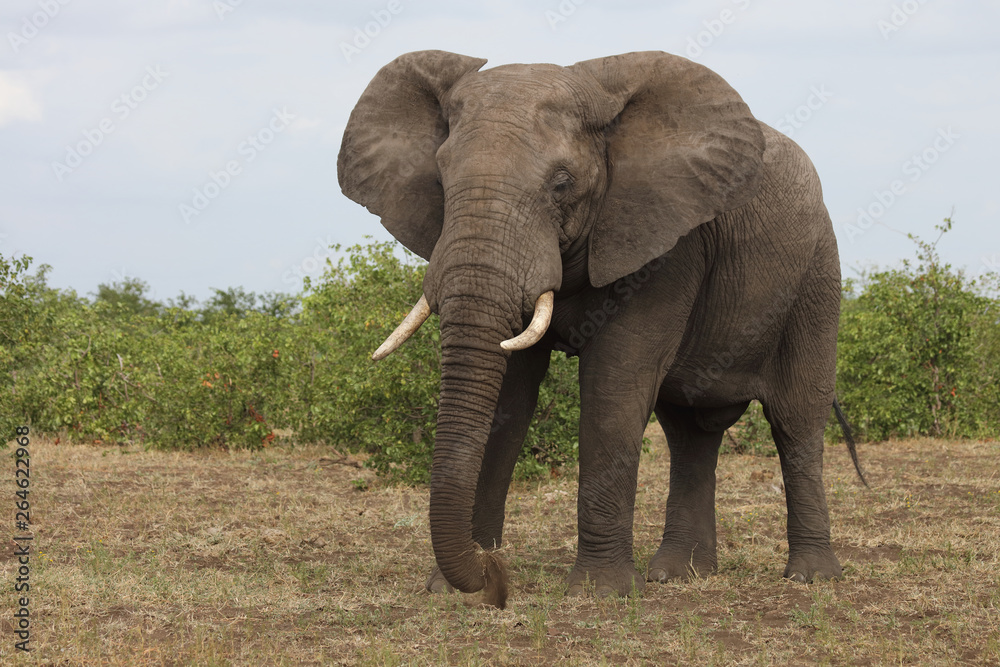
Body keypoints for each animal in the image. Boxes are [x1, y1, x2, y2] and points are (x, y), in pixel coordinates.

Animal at [338, 49, 868, 608]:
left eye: (562, 183)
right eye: (440, 180)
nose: (495, 576)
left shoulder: (665, 241)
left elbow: (615, 384)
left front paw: (600, 592)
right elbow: (508, 395)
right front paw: (452, 587)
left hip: (817, 276)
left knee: (796, 418)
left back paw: (811, 577)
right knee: (689, 430)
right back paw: (678, 576)